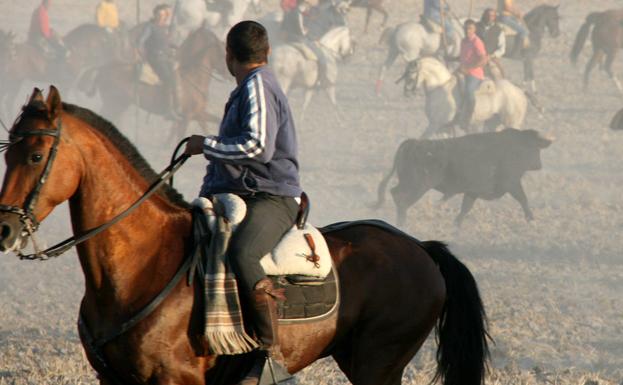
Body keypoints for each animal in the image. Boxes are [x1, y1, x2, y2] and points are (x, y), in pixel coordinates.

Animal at [0, 85, 490, 384]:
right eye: (9, 151)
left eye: (37, 154)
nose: (4, 227)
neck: (143, 263)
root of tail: (420, 249)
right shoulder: (112, 379)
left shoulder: (176, 380)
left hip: (378, 362)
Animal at [372, 129, 552, 225]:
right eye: (535, 148)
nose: (539, 165)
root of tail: (414, 143)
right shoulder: (512, 183)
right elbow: (523, 199)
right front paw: (531, 219)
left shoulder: (472, 192)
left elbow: (465, 208)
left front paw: (456, 225)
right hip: (417, 186)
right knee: (401, 198)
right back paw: (402, 222)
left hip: (409, 183)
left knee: (394, 193)